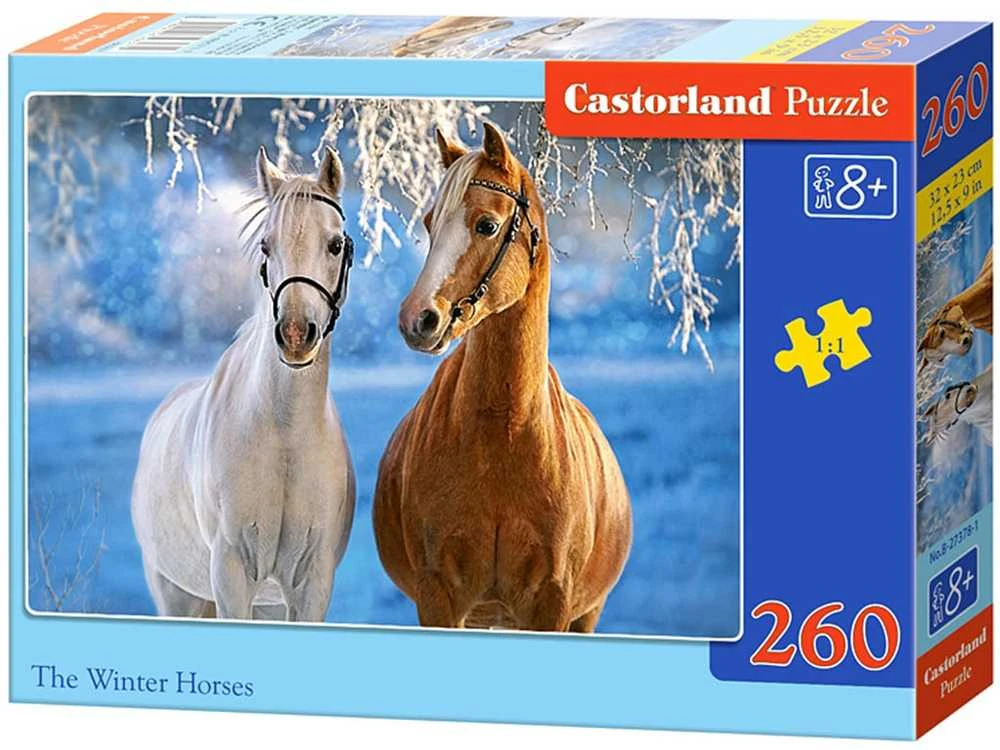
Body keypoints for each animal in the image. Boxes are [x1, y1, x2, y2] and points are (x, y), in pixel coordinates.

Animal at [131, 146, 356, 621]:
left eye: (335, 244)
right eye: (267, 245)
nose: (295, 334)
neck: (285, 438)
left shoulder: (311, 583)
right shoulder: (232, 575)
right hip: (176, 595)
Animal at [372, 123, 632, 632]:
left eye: (487, 225)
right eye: (430, 223)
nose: (417, 319)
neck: (502, 434)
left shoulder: (553, 603)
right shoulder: (438, 598)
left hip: (586, 614)